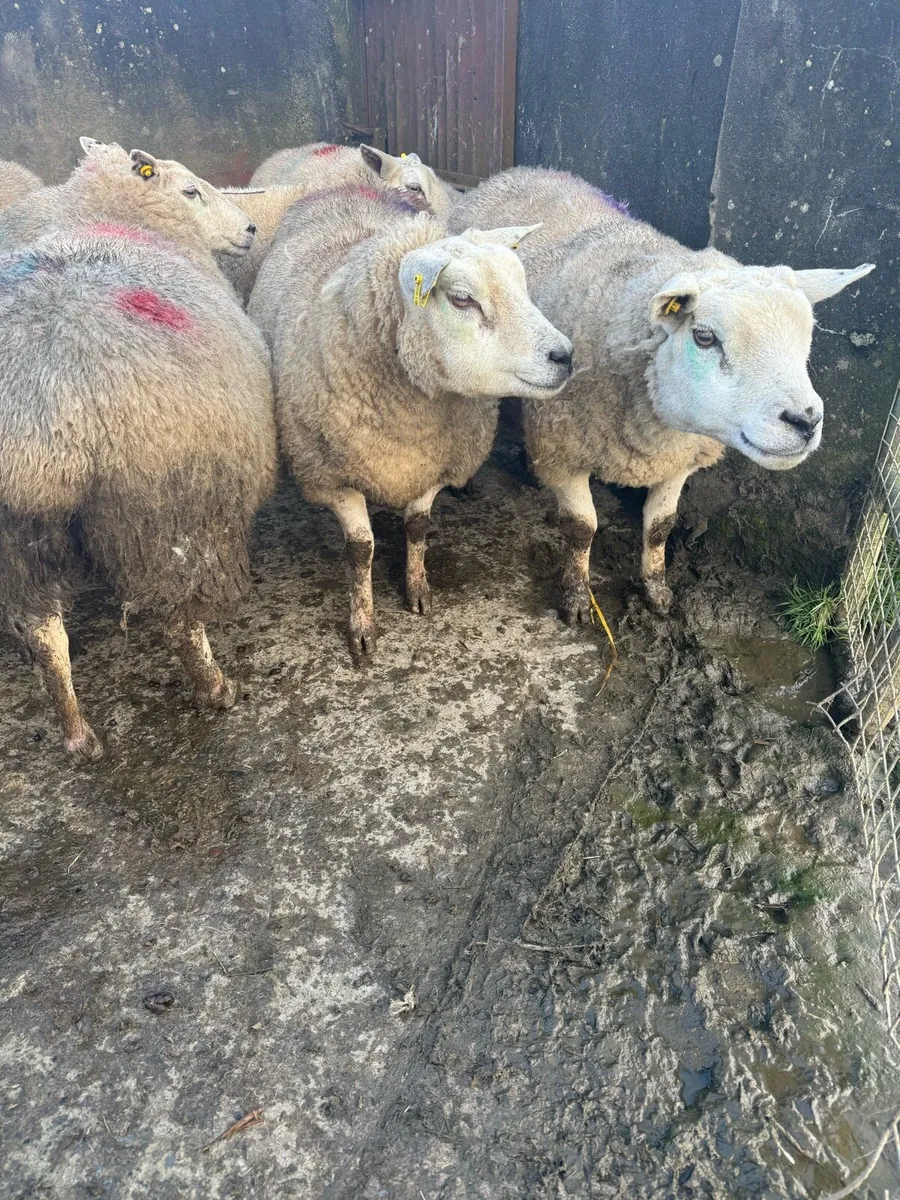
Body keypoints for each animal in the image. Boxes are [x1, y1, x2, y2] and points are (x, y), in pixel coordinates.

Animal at [248, 185, 573, 658]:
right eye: (462, 298)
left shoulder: (433, 463)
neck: (415, 414)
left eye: (523, 285)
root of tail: (346, 186)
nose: (565, 356)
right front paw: (362, 624)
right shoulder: (333, 476)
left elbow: (418, 528)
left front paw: (417, 589)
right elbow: (360, 551)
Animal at [448, 167, 875, 619]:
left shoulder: (679, 457)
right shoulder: (564, 446)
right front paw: (577, 597)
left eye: (807, 334)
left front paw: (657, 591)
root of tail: (521, 172)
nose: (805, 421)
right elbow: (581, 529)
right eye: (704, 337)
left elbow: (659, 527)